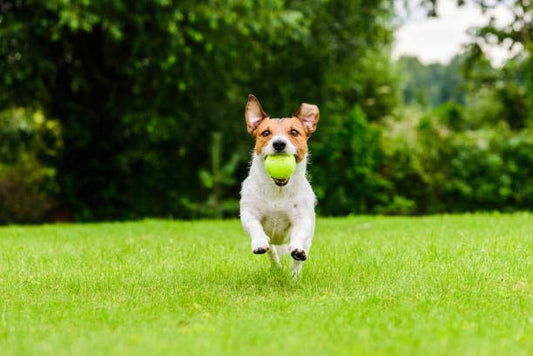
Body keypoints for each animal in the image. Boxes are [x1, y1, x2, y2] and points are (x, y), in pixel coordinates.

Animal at [240, 95, 320, 278]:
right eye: (266, 133)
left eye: (294, 132)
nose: (278, 144)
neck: (278, 189)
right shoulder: (249, 213)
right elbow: (254, 226)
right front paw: (259, 243)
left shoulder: (302, 218)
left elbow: (299, 234)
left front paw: (297, 251)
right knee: (272, 252)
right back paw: (276, 266)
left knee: (297, 260)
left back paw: (294, 276)